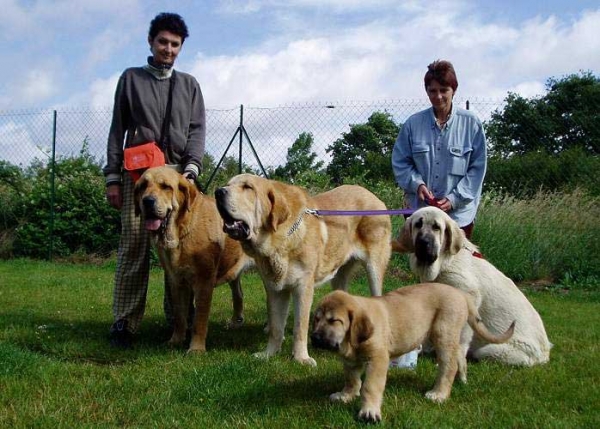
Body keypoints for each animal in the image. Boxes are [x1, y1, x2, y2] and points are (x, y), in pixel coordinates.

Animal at [134, 166, 253, 352]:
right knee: (239, 294)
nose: (147, 201)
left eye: (165, 187)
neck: (182, 229)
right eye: (143, 186)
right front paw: (175, 340)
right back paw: (235, 323)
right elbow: (179, 316)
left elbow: (199, 319)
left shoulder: (204, 282)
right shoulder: (176, 281)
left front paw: (196, 348)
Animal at [213, 174, 392, 364]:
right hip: (339, 275)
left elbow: (300, 327)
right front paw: (269, 354)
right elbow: (276, 327)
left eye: (248, 187)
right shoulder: (276, 289)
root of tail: (374, 197)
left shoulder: (303, 288)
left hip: (374, 268)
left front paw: (301, 358)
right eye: (227, 185)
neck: (280, 239)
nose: (218, 192)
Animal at [312, 284, 512, 422]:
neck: (352, 342)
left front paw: (369, 411)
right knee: (460, 357)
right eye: (316, 319)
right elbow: (352, 379)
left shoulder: (378, 359)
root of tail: (460, 294)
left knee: (449, 366)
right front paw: (346, 395)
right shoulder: (350, 361)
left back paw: (439, 394)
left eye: (334, 321)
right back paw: (462, 380)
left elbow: (370, 386)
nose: (314, 337)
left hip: (443, 334)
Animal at [394, 206, 552, 364]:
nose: (423, 242)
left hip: (491, 351)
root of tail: (545, 354)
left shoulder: (467, 295)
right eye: (418, 224)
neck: (445, 261)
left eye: (436, 227)